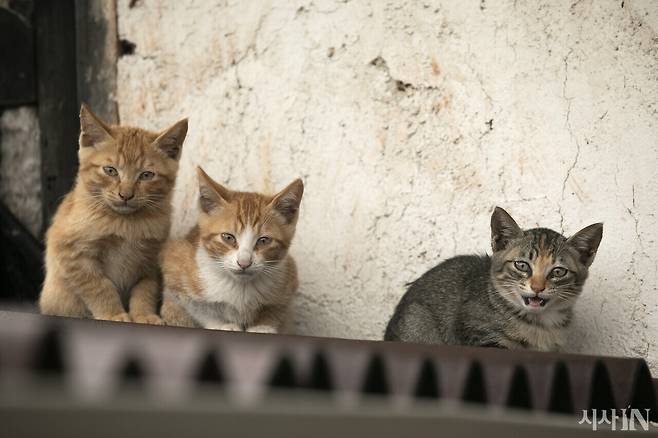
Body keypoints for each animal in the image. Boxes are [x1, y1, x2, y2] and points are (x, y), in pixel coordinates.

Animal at [39, 102, 187, 322]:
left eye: (146, 175)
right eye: (110, 170)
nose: (126, 195)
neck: (126, 223)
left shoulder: (150, 259)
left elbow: (145, 289)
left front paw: (144, 315)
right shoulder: (72, 252)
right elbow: (100, 286)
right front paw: (113, 314)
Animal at [159, 168, 302, 332]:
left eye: (264, 240)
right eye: (228, 237)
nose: (244, 263)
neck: (240, 288)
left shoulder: (288, 279)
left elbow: (276, 310)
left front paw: (263, 327)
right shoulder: (174, 265)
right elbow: (198, 308)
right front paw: (222, 324)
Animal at [382, 207, 604, 350]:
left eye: (558, 272)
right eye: (522, 265)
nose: (537, 287)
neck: (540, 324)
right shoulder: (477, 335)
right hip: (416, 318)